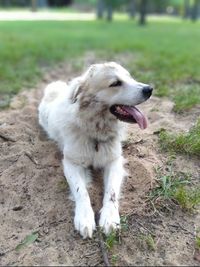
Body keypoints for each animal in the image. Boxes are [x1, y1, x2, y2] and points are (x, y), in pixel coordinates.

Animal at [38, 62, 152, 239]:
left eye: (130, 77)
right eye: (115, 83)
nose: (149, 89)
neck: (96, 132)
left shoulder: (114, 161)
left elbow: (111, 192)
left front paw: (110, 218)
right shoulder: (71, 163)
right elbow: (81, 191)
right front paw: (84, 218)